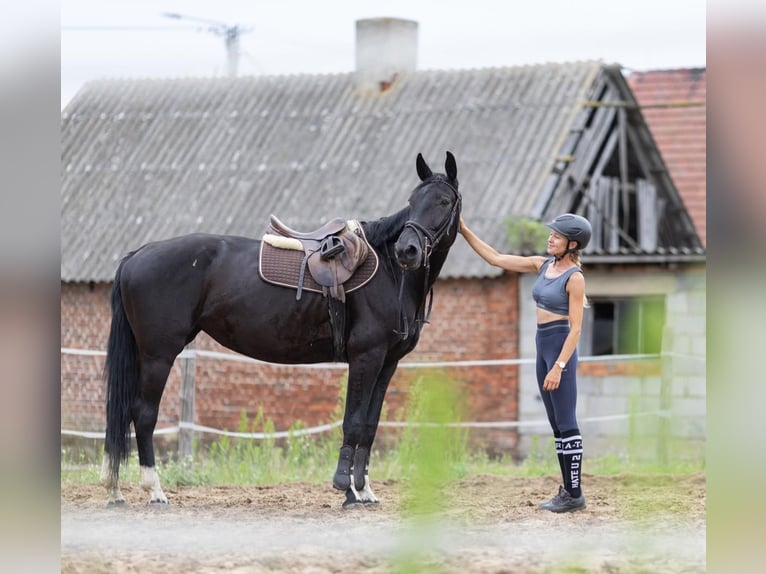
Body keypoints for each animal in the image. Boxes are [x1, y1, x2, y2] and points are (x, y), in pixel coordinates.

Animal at [102, 152, 462, 508]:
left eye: (444, 201)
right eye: (412, 201)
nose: (407, 251)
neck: (388, 271)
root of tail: (137, 256)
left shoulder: (387, 363)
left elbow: (370, 425)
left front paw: (364, 490)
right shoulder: (366, 357)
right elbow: (354, 422)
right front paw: (346, 488)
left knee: (123, 413)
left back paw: (115, 490)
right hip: (158, 355)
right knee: (143, 414)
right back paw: (154, 490)